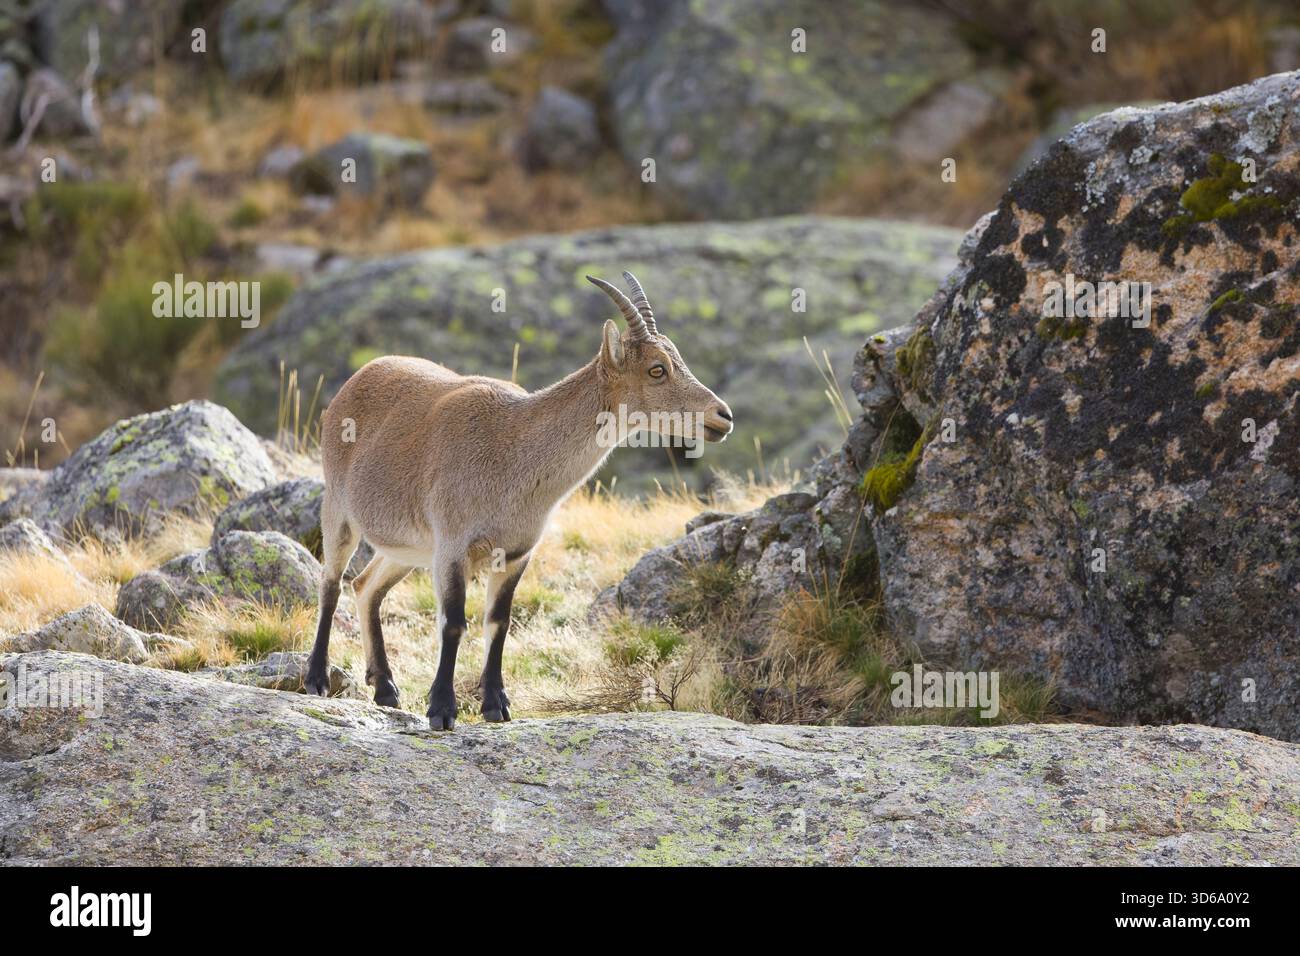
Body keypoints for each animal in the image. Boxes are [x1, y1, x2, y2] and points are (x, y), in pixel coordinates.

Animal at [304, 272, 733, 729]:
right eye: (657, 369)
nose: (722, 416)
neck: (512, 454)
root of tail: (357, 378)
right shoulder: (453, 546)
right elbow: (453, 622)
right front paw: (442, 709)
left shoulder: (514, 553)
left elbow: (499, 623)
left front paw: (496, 705)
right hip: (340, 510)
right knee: (331, 582)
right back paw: (317, 678)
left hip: (410, 548)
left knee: (366, 585)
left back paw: (385, 688)